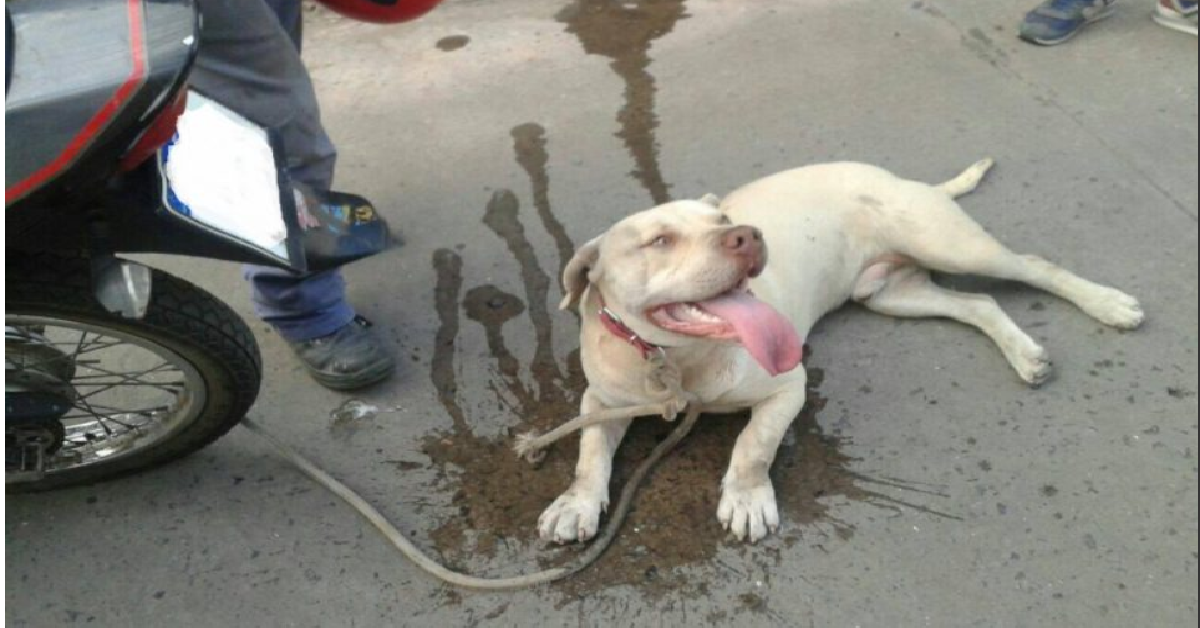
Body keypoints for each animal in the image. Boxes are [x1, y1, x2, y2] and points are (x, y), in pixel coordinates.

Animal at [542, 160, 1142, 545]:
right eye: (660, 240)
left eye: (721, 222)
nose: (748, 234)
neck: (679, 360)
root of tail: (901, 177)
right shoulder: (601, 403)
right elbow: (589, 455)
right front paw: (575, 503)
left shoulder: (788, 387)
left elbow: (754, 444)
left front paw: (747, 498)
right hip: (895, 294)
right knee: (979, 303)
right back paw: (1024, 352)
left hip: (950, 245)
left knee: (1034, 267)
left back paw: (1108, 303)